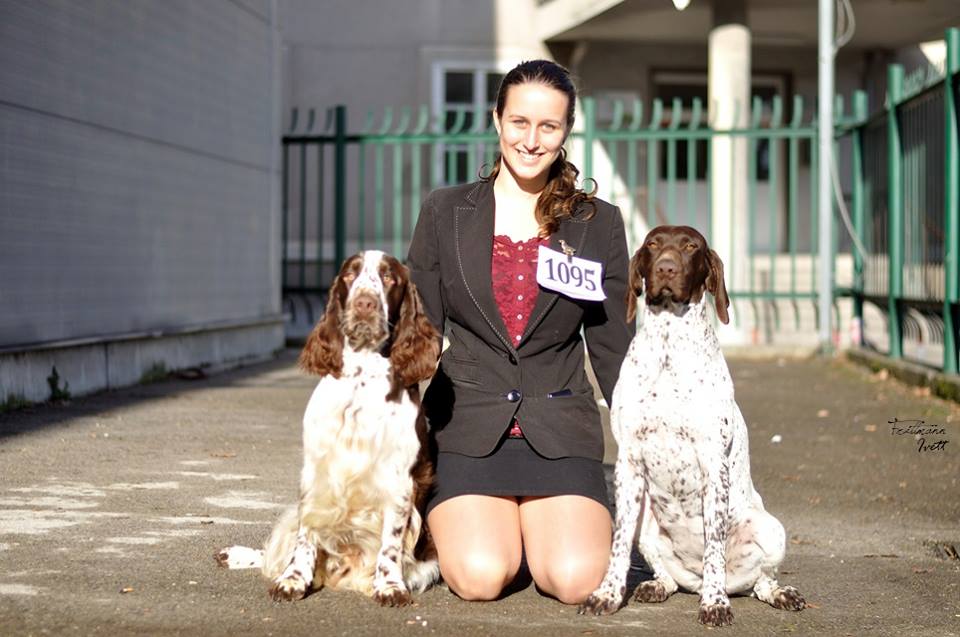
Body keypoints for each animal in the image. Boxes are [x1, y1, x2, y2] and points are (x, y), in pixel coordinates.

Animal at [216, 250, 441, 605]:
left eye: (388, 277)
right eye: (350, 275)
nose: (364, 303)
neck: (362, 379)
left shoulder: (399, 480)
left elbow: (391, 543)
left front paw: (390, 586)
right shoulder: (317, 471)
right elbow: (305, 535)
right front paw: (292, 581)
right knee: (275, 552)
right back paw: (237, 555)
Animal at [579, 226, 804, 626]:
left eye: (690, 246)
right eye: (652, 244)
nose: (666, 268)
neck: (669, 348)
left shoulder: (713, 463)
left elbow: (714, 547)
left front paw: (714, 604)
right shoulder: (629, 461)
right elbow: (617, 545)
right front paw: (607, 595)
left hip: (770, 528)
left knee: (760, 580)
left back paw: (774, 593)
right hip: (647, 527)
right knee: (668, 573)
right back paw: (658, 585)